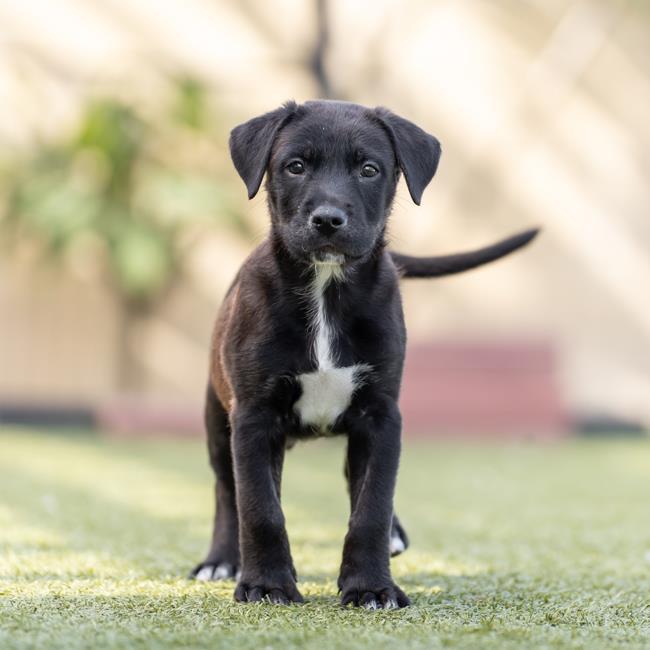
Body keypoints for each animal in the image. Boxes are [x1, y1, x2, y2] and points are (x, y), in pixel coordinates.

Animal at [189, 100, 536, 608]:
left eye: (369, 170)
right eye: (295, 166)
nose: (328, 219)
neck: (326, 290)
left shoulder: (381, 416)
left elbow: (373, 503)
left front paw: (371, 586)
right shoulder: (252, 416)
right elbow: (259, 507)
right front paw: (267, 585)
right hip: (218, 419)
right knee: (224, 488)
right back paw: (220, 560)